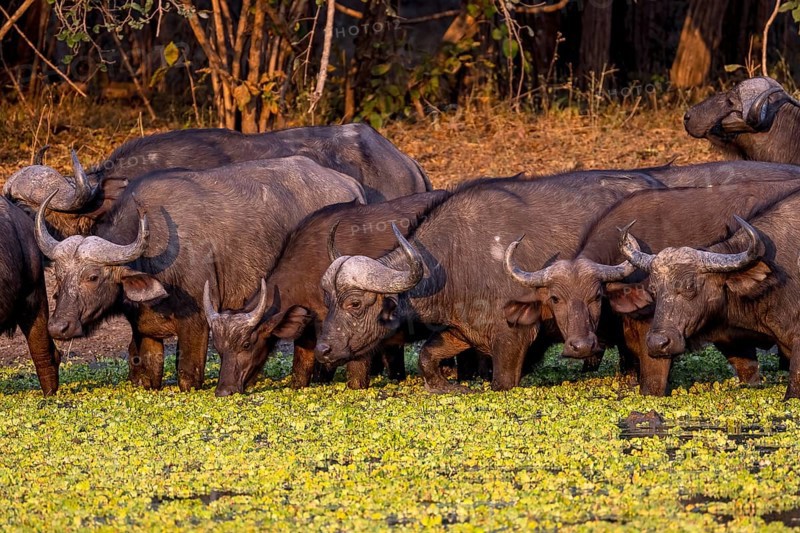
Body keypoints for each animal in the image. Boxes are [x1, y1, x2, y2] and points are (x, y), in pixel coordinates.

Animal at [34, 157, 365, 391]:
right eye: (59, 276)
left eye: (92, 276)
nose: (59, 327)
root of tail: (350, 185)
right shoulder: (146, 330)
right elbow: (150, 375)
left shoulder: (196, 323)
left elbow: (187, 376)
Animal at [203, 191, 450, 396]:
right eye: (219, 348)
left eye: (246, 344)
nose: (224, 390)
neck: (309, 266)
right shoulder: (308, 330)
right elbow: (300, 373)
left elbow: (355, 378)